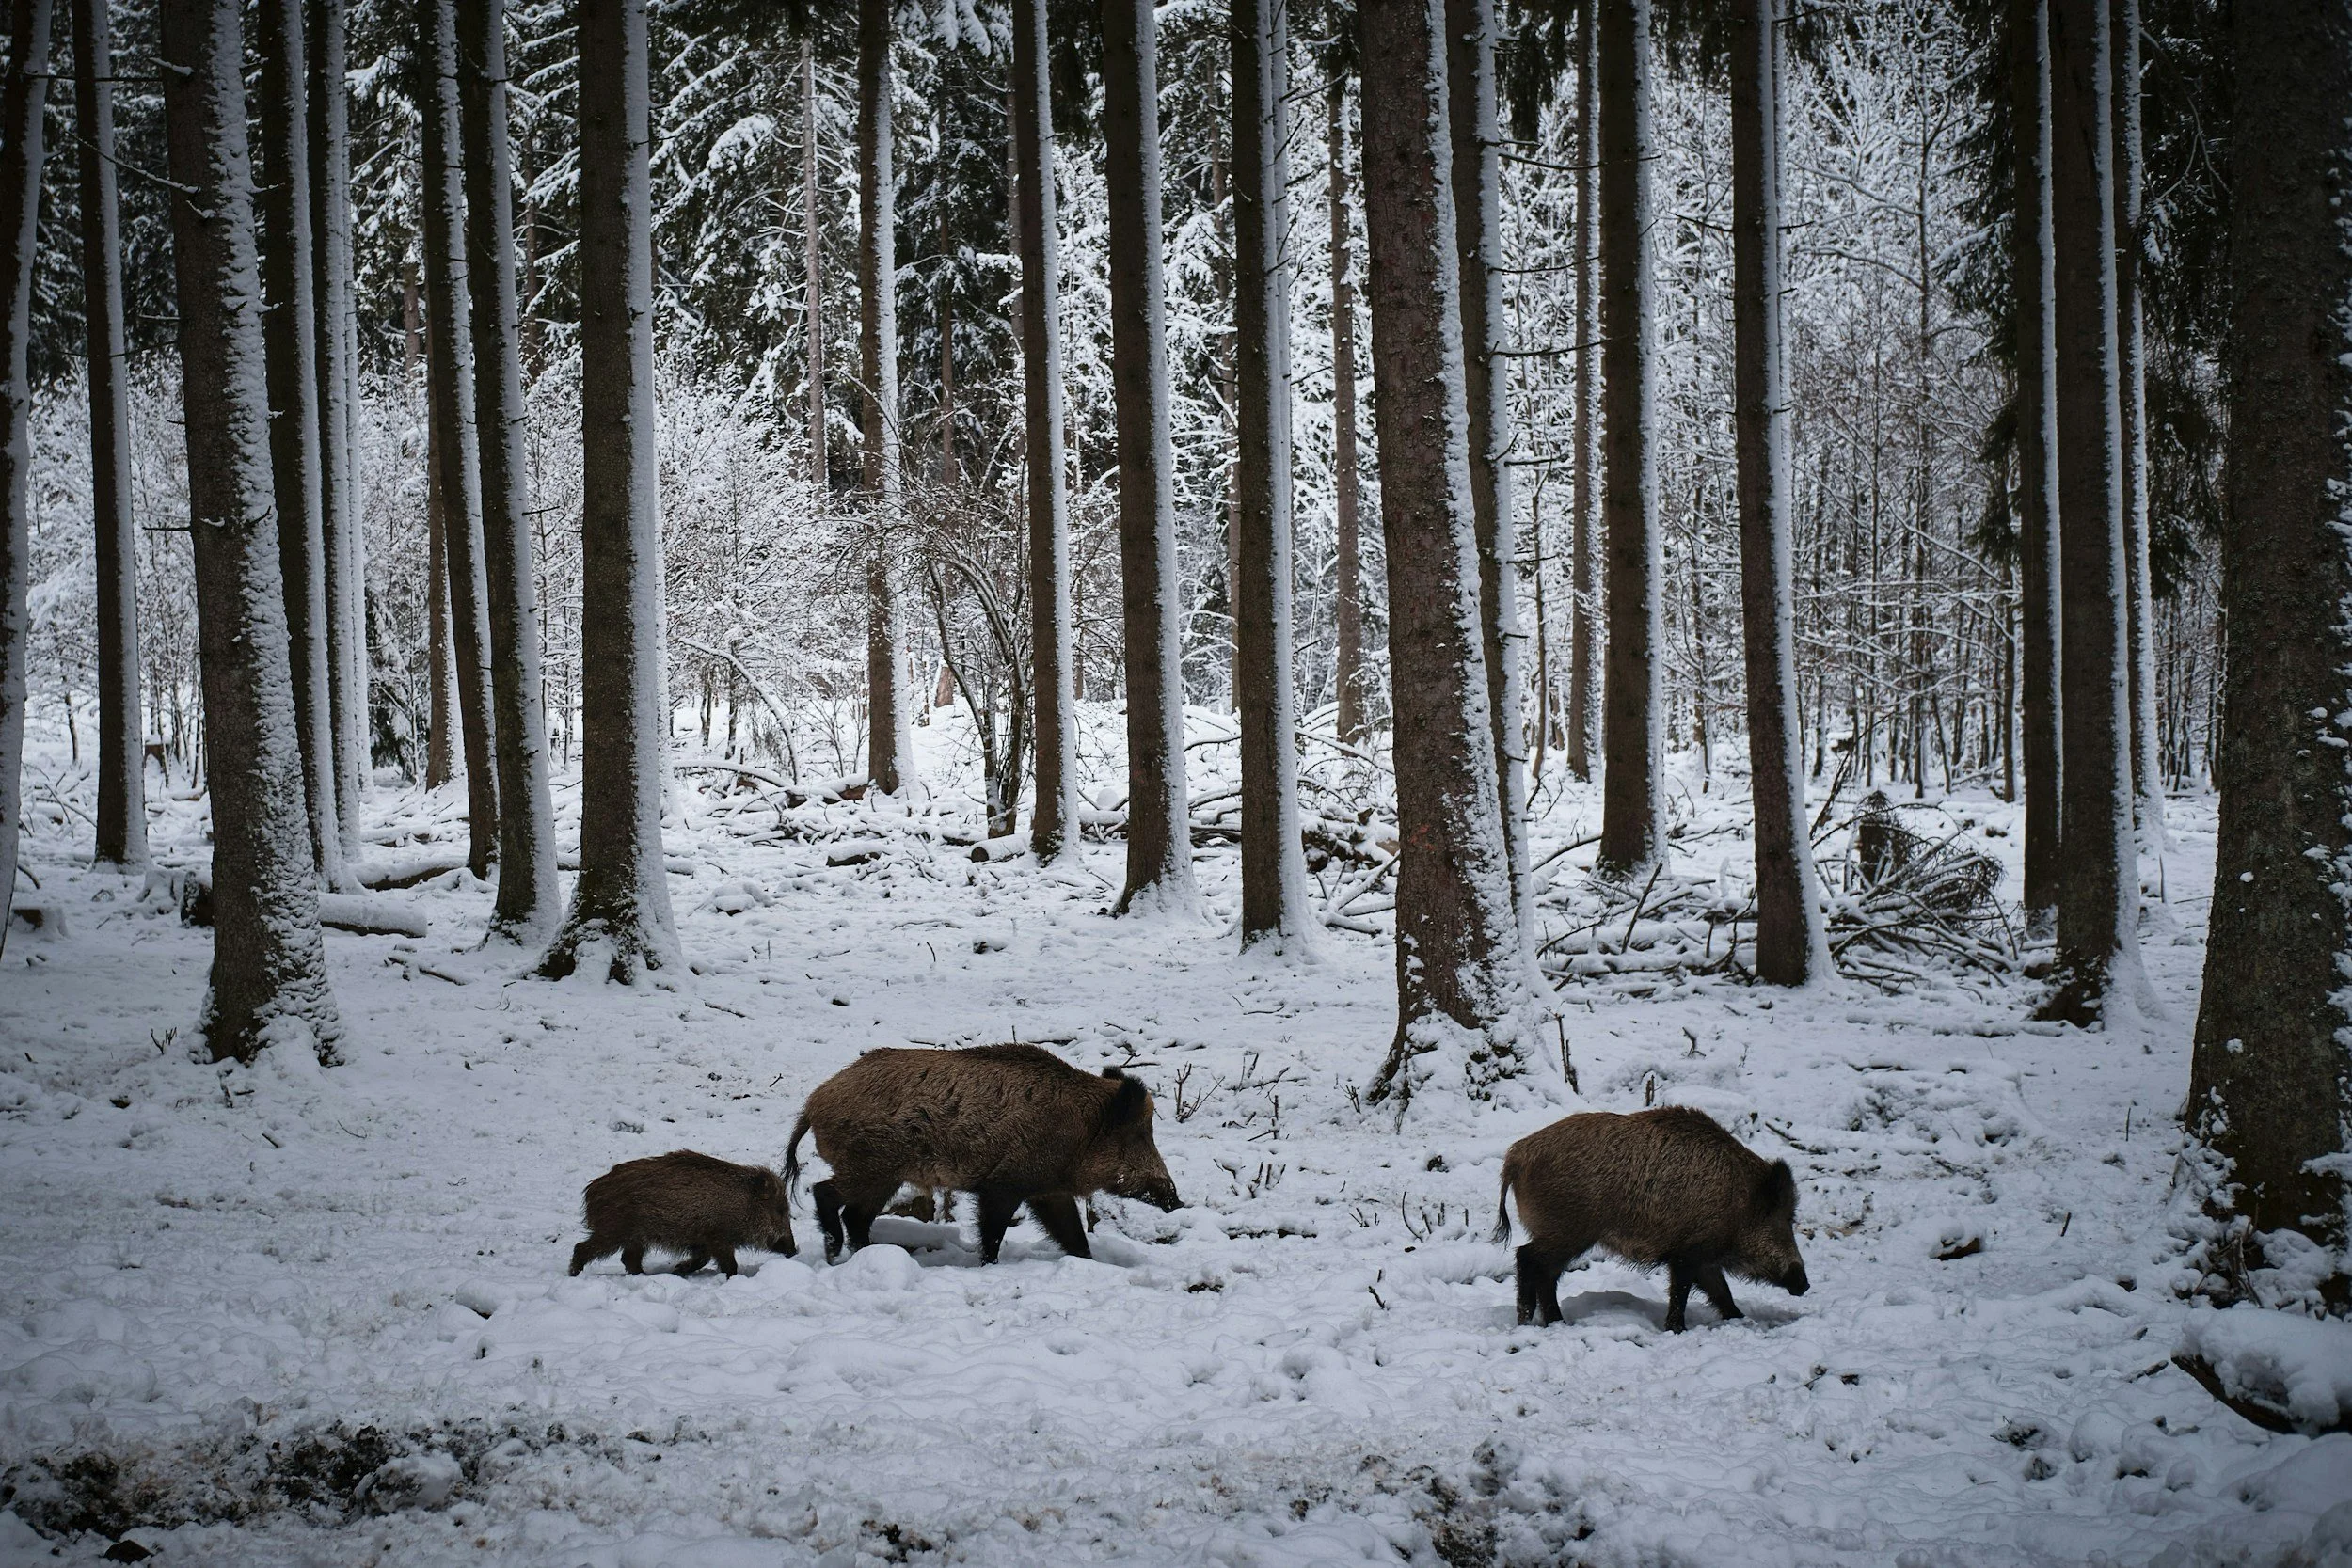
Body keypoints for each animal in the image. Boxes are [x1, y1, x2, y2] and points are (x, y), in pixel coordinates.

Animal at [568, 1150, 797, 1277]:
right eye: (780, 1210)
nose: (794, 1250)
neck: (743, 1204)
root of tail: (592, 1190)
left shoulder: (703, 1242)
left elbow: (702, 1260)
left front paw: (679, 1270)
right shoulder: (717, 1237)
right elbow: (729, 1264)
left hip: (636, 1238)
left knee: (629, 1259)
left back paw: (645, 1276)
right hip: (613, 1231)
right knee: (582, 1248)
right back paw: (574, 1274)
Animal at [783, 1043, 1182, 1264]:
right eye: (1139, 1135)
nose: (1176, 1201)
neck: (1081, 1129)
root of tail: (814, 1104)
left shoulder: (1048, 1191)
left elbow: (1072, 1233)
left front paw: (1088, 1262)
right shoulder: (1002, 1185)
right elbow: (992, 1233)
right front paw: (987, 1265)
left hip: (883, 1176)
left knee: (856, 1216)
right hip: (870, 1166)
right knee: (825, 1193)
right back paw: (834, 1253)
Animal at [1493, 1106, 1810, 1331]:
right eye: (1784, 1219)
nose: (1805, 1285)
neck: (1739, 1202)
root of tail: (1515, 1157)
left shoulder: (1703, 1257)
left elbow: (1721, 1291)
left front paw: (1740, 1319)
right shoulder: (1687, 1253)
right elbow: (1682, 1292)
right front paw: (1677, 1330)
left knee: (1546, 1272)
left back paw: (1555, 1322)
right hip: (1568, 1229)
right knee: (1527, 1258)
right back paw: (1532, 1321)